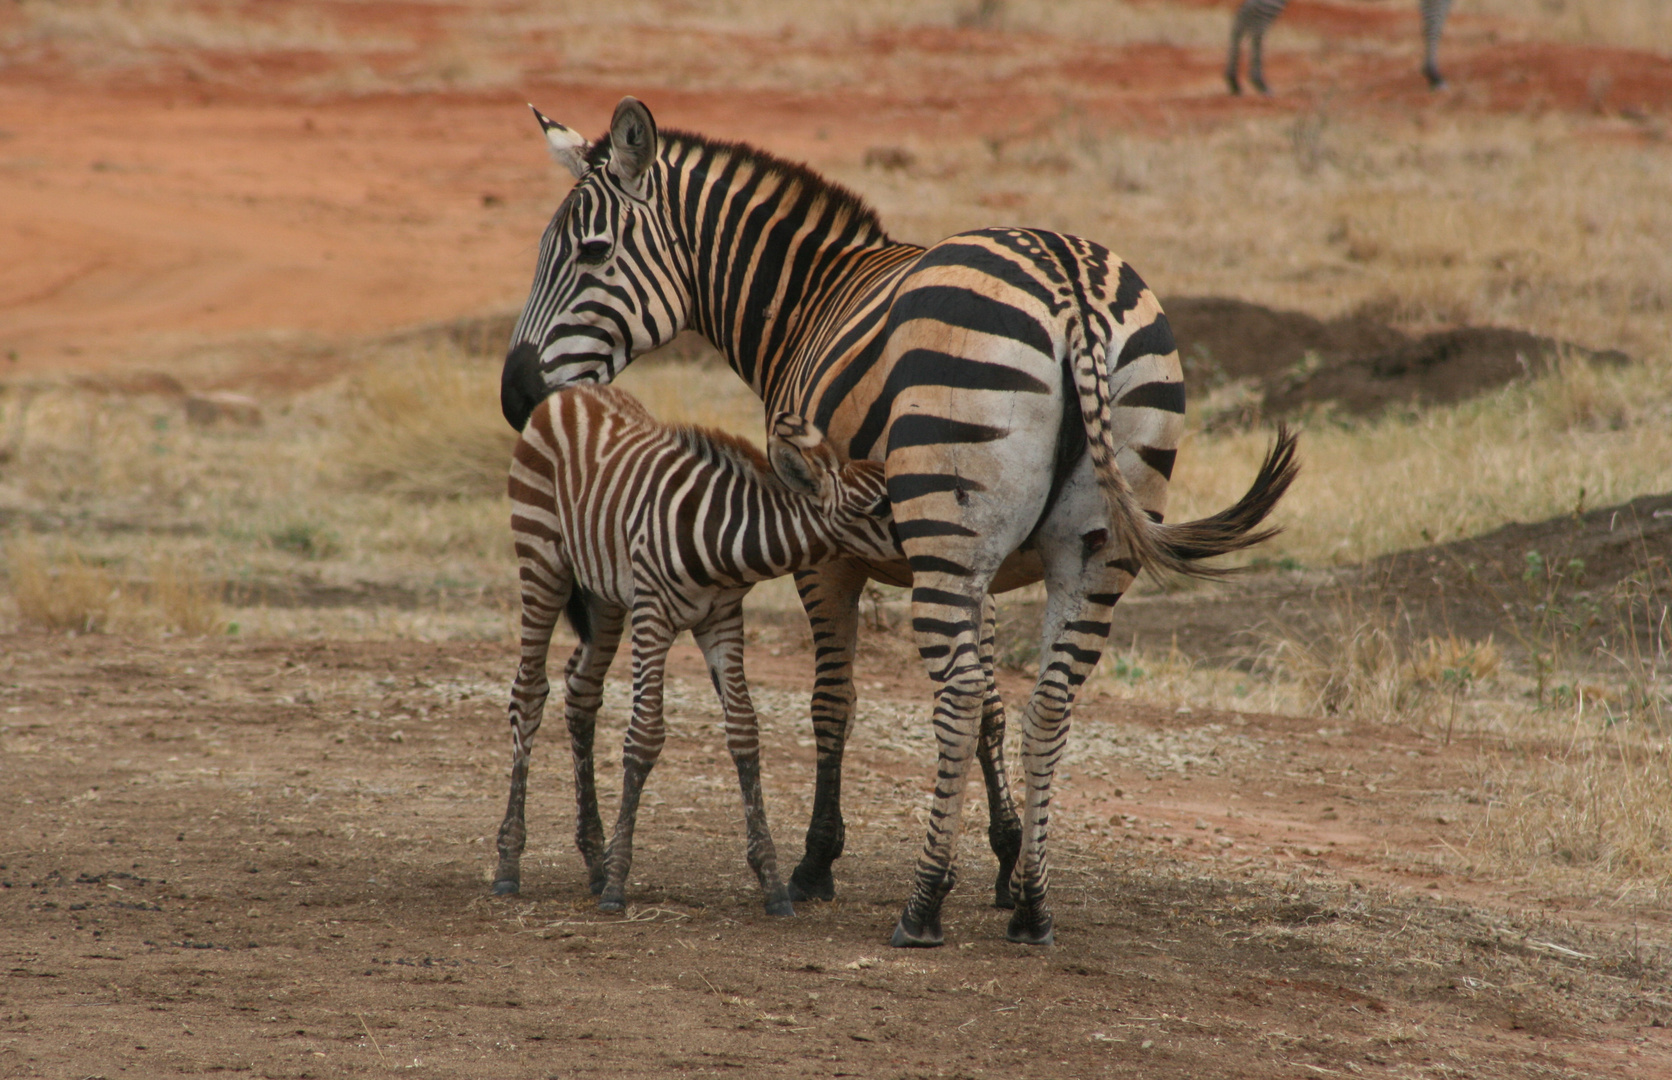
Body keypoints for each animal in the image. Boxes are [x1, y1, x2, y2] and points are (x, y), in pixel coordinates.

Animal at [488, 384, 896, 916]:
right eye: (879, 508)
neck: (722, 543)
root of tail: (574, 390)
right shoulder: (653, 616)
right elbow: (644, 736)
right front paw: (618, 884)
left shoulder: (722, 620)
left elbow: (744, 730)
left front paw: (771, 882)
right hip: (543, 559)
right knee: (530, 692)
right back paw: (509, 864)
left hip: (604, 595)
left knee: (582, 692)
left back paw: (594, 859)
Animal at [1230, 0, 1451, 94]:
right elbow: (1435, 18)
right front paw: (1434, 74)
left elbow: (1432, 17)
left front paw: (1431, 72)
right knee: (1257, 23)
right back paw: (1259, 81)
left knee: (1242, 15)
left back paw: (1234, 81)